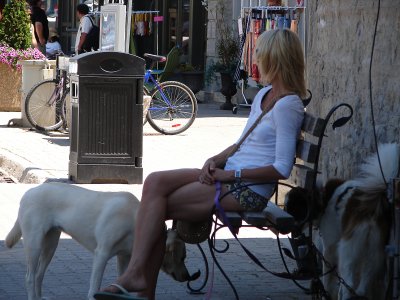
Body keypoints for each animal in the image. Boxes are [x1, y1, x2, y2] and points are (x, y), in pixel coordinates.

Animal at [5, 183, 193, 300]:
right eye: (182, 257)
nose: (188, 276)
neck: (136, 220)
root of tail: (29, 192)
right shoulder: (101, 254)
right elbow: (94, 286)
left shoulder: (124, 257)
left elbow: (120, 280)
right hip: (34, 244)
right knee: (30, 277)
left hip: (50, 246)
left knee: (39, 274)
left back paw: (38, 297)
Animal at [318, 144, 398, 300]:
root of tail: (373, 206)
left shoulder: (330, 247)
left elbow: (328, 278)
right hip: (375, 252)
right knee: (362, 287)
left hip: (348, 250)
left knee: (349, 284)